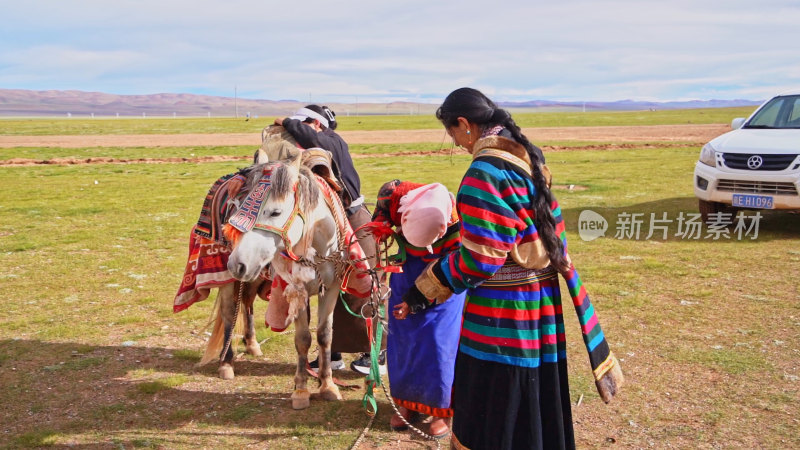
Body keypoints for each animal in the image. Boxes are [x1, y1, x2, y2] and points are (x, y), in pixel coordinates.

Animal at [227, 159, 348, 412]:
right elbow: (303, 340)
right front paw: (300, 391)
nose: (236, 263)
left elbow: (324, 335)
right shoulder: (297, 291)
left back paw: (252, 344)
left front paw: (328, 385)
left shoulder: (331, 289)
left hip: (255, 275)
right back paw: (226, 363)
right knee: (228, 313)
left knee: (247, 302)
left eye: (275, 212)